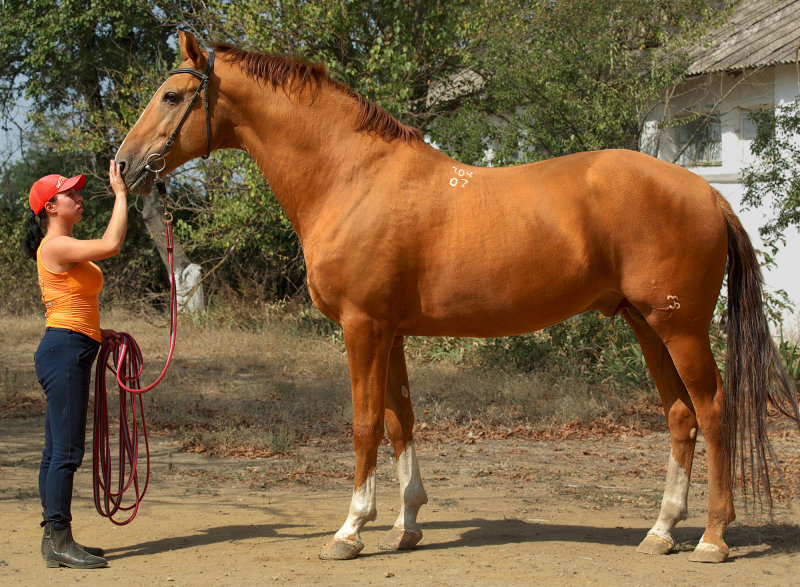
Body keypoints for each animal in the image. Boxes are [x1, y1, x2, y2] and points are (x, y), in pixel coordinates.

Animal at [115, 31, 796, 564]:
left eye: (171, 96)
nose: (123, 165)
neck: (353, 178)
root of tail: (707, 193)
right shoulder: (390, 331)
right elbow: (400, 420)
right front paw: (405, 526)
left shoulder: (362, 327)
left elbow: (365, 423)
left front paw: (350, 530)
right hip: (645, 324)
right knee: (680, 415)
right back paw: (660, 532)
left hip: (680, 328)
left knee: (714, 411)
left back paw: (712, 538)